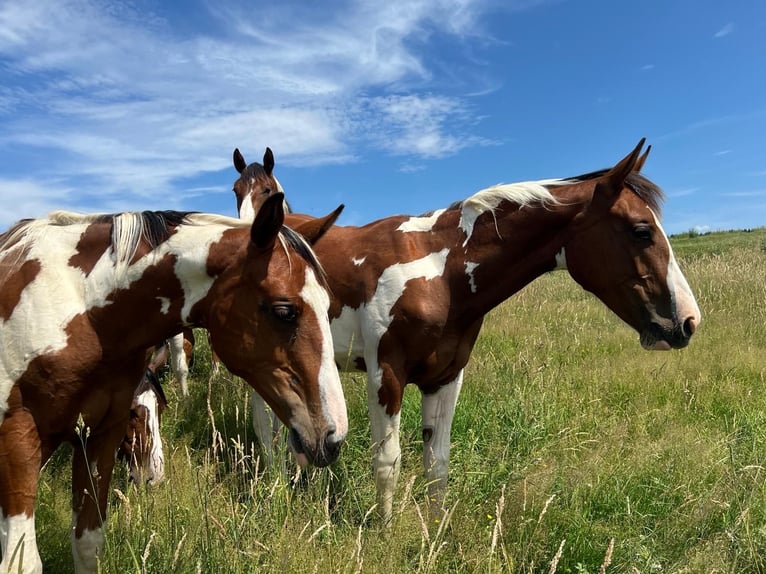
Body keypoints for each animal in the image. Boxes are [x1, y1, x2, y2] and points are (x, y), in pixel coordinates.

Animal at [0, 194, 347, 574]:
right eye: (284, 311)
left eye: (328, 306)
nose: (332, 436)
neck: (82, 309)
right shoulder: (17, 440)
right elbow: (22, 562)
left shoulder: (99, 435)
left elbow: (88, 544)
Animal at [234, 140, 701, 523]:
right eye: (641, 230)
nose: (687, 321)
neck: (442, 269)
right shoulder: (386, 375)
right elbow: (388, 462)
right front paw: (385, 533)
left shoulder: (446, 376)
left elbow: (437, 465)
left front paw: (435, 535)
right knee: (265, 427)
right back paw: (276, 488)